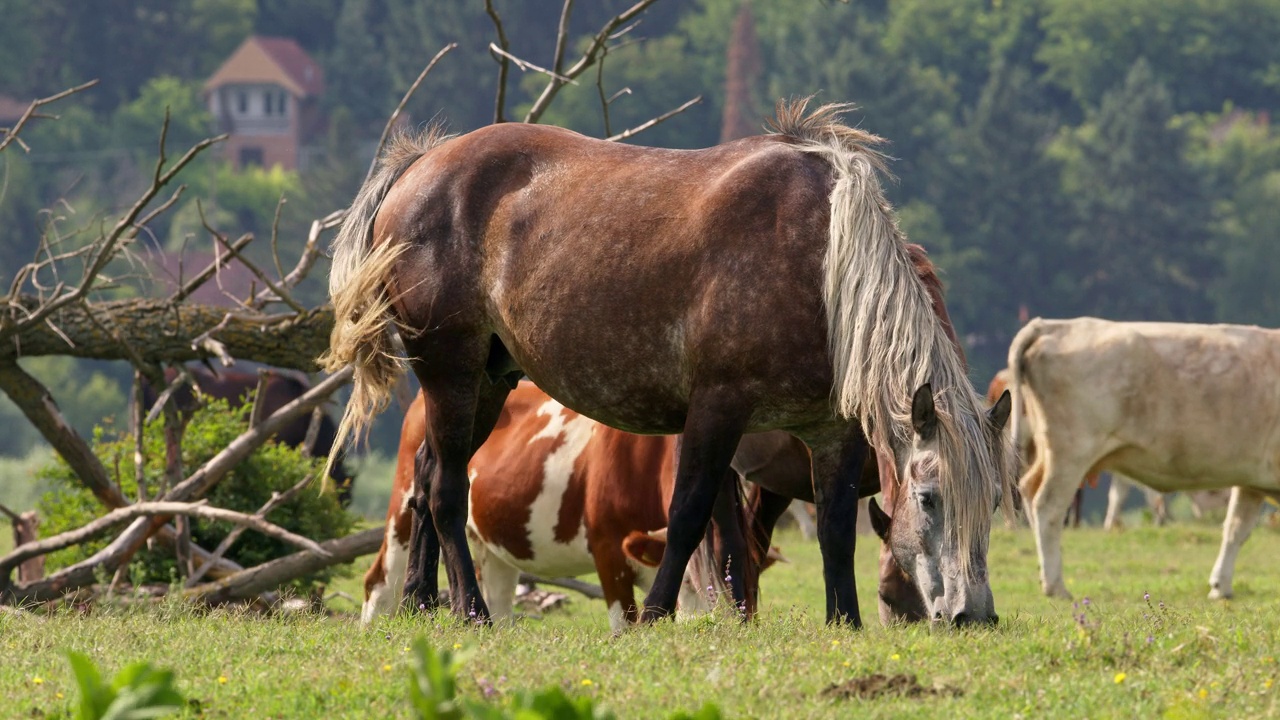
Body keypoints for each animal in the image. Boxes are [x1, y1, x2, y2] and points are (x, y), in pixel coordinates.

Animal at [320, 98, 1008, 625]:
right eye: (929, 498)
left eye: (996, 500)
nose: (972, 615)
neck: (821, 262)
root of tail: (418, 166)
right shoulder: (717, 408)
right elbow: (687, 513)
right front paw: (654, 612)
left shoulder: (832, 432)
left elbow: (837, 531)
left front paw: (846, 621)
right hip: (450, 372)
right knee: (444, 489)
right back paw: (470, 610)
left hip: (490, 380)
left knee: (429, 474)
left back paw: (420, 602)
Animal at [1008, 316, 1280, 597]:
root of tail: (1052, 325)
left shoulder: (1251, 480)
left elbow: (1236, 528)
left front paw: (1220, 586)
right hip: (1071, 452)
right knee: (1048, 507)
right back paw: (1056, 586)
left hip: (1050, 451)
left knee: (1029, 488)